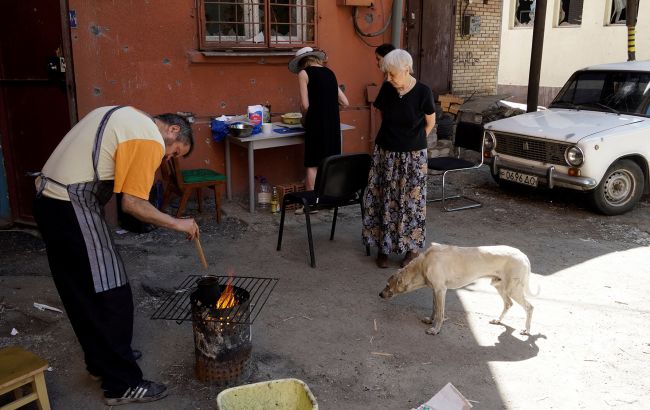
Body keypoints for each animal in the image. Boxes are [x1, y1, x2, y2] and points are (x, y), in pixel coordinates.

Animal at [378, 242, 536, 334]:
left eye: (387, 285)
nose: (380, 294)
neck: (423, 264)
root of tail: (523, 255)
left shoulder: (441, 290)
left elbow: (440, 313)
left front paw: (435, 329)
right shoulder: (435, 290)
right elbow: (434, 309)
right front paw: (430, 320)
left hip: (512, 289)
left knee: (530, 307)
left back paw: (527, 330)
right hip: (500, 286)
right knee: (508, 304)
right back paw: (498, 321)